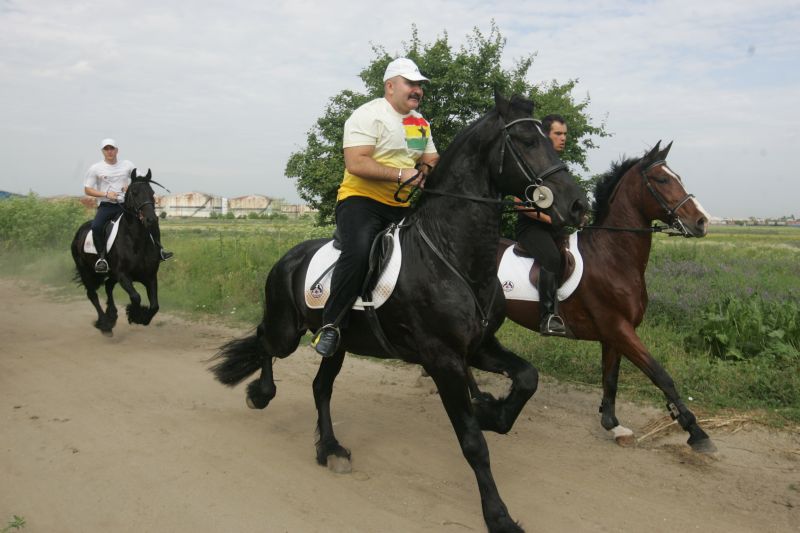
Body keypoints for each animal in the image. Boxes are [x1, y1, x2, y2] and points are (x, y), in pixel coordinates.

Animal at [72, 168, 164, 334]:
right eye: (134, 192)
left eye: (152, 192)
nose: (151, 220)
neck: (136, 240)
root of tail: (79, 232)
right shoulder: (123, 275)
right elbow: (136, 297)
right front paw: (135, 315)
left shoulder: (150, 276)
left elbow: (155, 306)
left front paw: (142, 318)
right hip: (86, 271)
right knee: (92, 294)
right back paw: (105, 323)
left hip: (112, 275)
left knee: (108, 286)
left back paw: (112, 314)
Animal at [211, 92, 588, 532]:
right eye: (528, 140)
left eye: (551, 137)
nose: (577, 205)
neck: (453, 257)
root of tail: (288, 257)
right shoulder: (443, 359)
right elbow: (473, 443)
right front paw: (499, 515)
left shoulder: (479, 347)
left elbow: (527, 378)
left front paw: (493, 413)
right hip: (287, 331)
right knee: (262, 341)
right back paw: (261, 394)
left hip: (338, 343)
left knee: (320, 387)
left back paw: (331, 448)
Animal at [496, 142, 716, 454]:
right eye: (663, 179)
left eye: (678, 177)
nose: (701, 222)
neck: (613, 257)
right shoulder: (618, 328)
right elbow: (661, 375)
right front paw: (695, 431)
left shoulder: (614, 335)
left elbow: (610, 378)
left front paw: (613, 425)